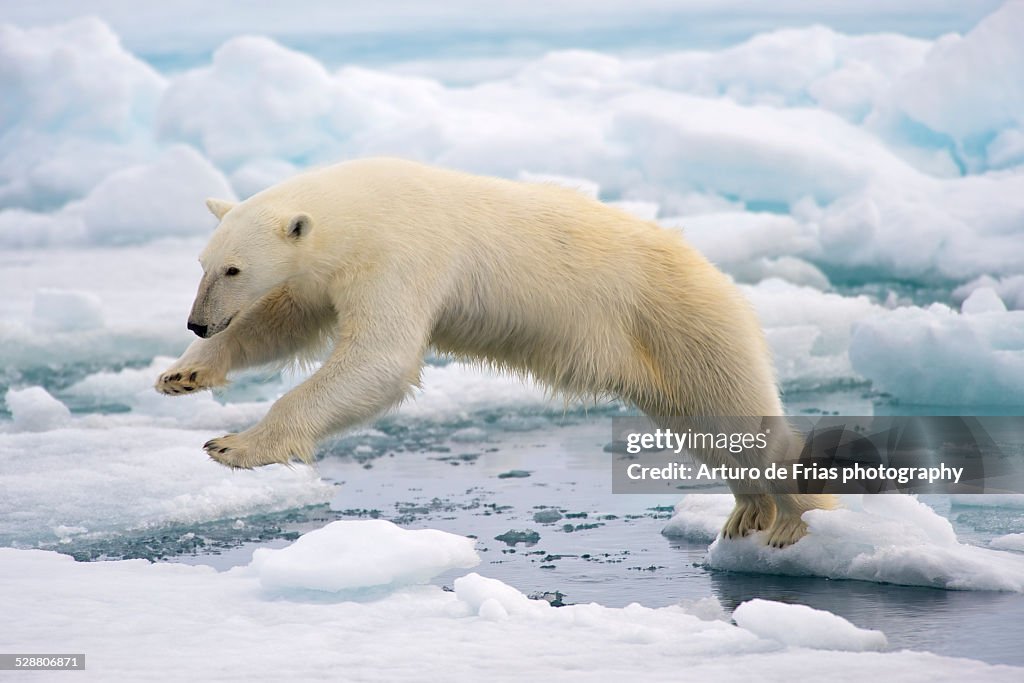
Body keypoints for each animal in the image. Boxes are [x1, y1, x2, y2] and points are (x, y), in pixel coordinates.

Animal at [155, 157, 835, 548]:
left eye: (234, 268)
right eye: (203, 263)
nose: (196, 321)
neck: (361, 206)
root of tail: (717, 274)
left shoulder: (401, 253)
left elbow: (379, 358)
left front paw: (234, 445)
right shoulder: (327, 272)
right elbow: (284, 321)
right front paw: (183, 374)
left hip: (681, 321)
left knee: (738, 410)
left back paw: (795, 520)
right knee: (705, 423)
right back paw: (747, 512)